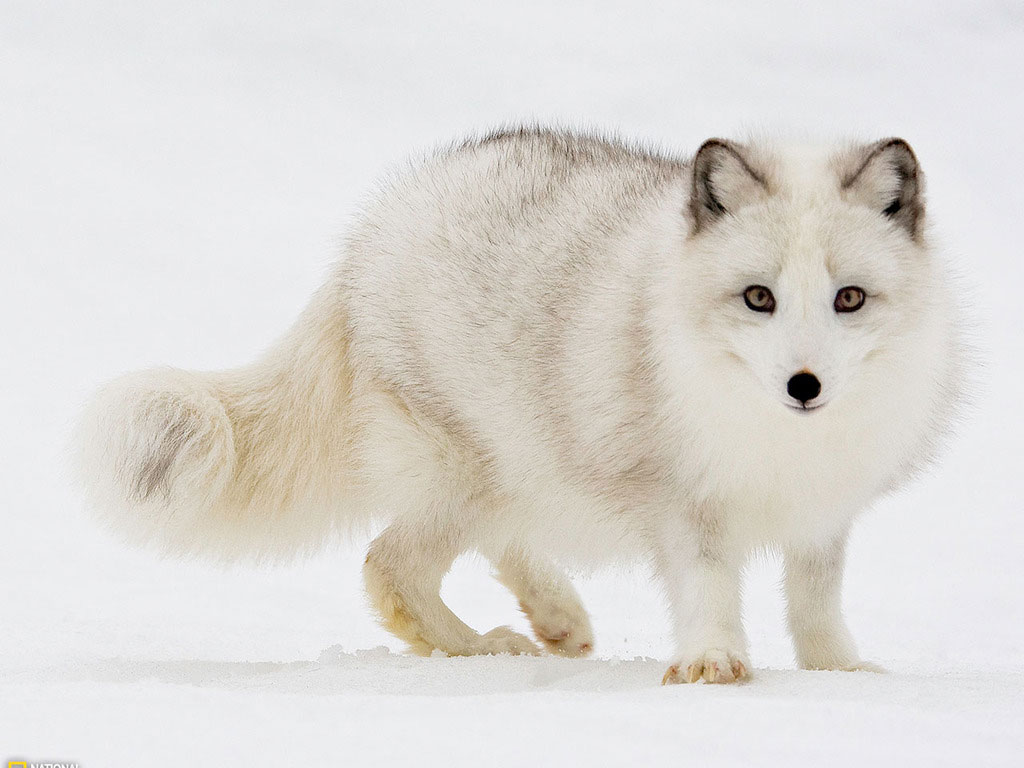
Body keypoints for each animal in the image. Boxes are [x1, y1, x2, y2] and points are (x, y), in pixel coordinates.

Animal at [77, 128, 958, 684]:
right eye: (758, 297)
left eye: (849, 298)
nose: (804, 386)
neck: (777, 439)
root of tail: (370, 231)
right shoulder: (685, 502)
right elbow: (709, 588)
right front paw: (713, 664)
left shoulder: (824, 510)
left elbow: (816, 601)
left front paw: (839, 672)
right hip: (470, 472)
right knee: (388, 568)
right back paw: (486, 650)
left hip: (517, 467)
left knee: (492, 544)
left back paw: (556, 617)